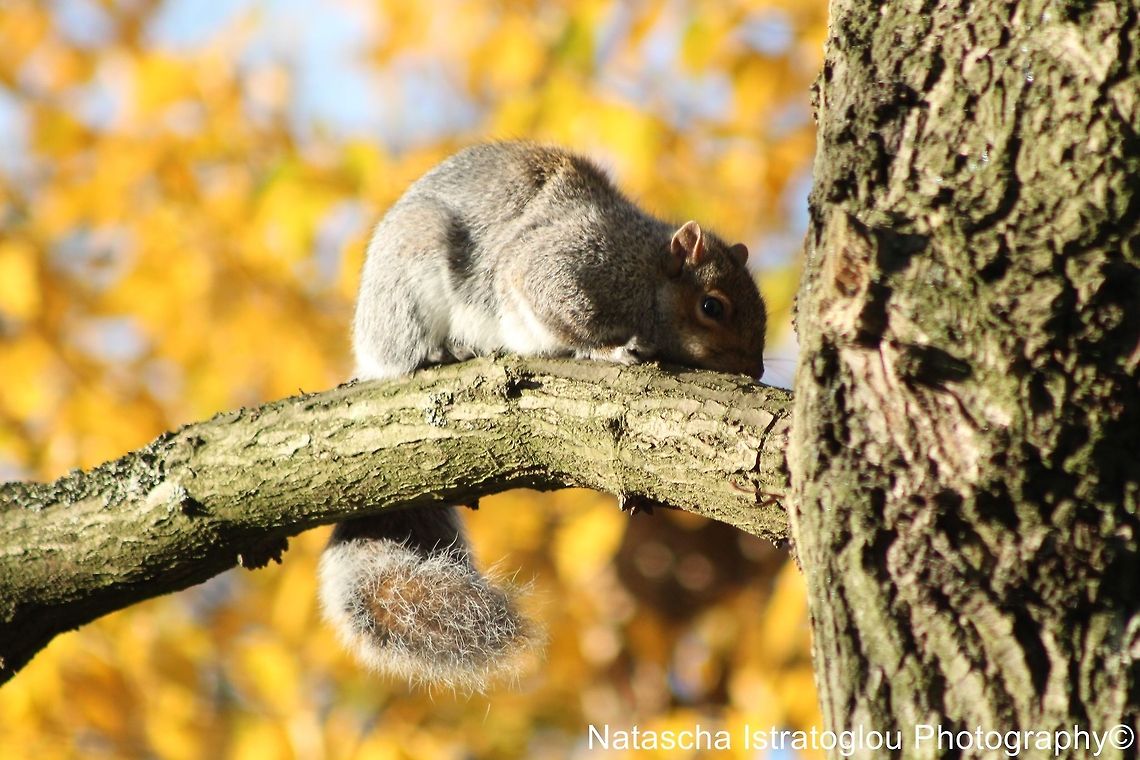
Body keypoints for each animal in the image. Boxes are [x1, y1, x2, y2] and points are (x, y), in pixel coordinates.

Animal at [318, 141, 766, 692]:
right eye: (712, 306)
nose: (757, 370)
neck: (648, 270)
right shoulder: (569, 265)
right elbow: (548, 303)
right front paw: (608, 351)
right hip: (409, 284)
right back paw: (441, 351)